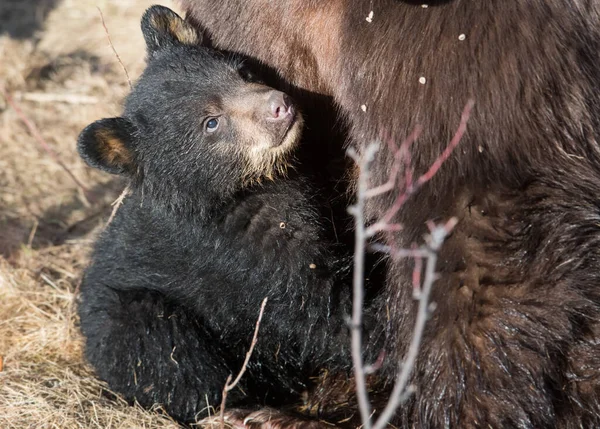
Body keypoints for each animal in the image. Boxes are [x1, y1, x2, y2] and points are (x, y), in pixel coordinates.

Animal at [76, 5, 376, 422]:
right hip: (133, 320)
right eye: (211, 122)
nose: (280, 106)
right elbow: (316, 311)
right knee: (171, 356)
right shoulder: (242, 256)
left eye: (244, 73)